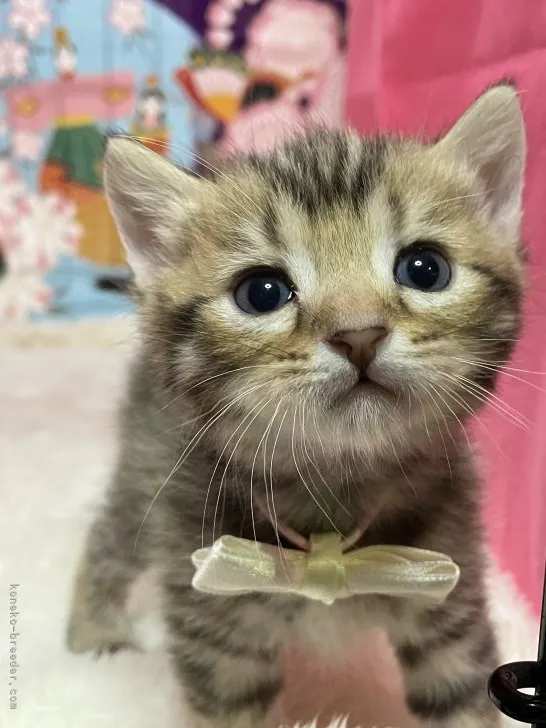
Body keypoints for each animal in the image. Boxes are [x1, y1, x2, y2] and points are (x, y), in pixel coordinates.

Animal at [67, 81, 524, 728]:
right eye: (262, 293)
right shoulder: (219, 639)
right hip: (145, 467)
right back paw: (92, 639)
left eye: (424, 269)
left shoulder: (450, 603)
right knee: (110, 534)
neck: (331, 497)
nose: (359, 334)